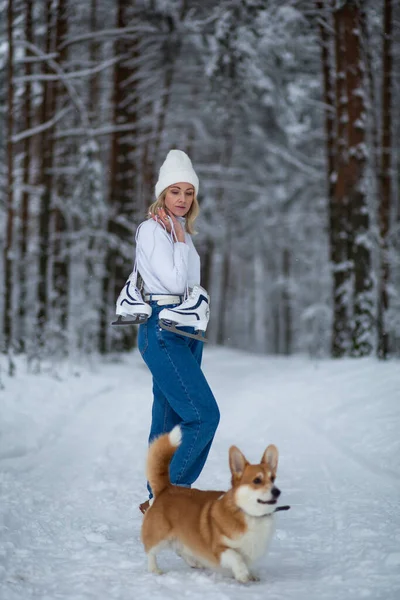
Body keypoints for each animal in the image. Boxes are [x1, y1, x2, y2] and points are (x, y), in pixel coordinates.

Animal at [141, 424, 282, 584]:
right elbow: (237, 557)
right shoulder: (219, 549)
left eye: (273, 479)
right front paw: (242, 575)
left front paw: (251, 574)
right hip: (159, 535)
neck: (248, 514)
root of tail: (166, 488)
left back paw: (194, 561)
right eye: (257, 480)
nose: (277, 491)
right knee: (150, 551)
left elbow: (246, 561)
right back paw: (154, 569)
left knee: (180, 548)